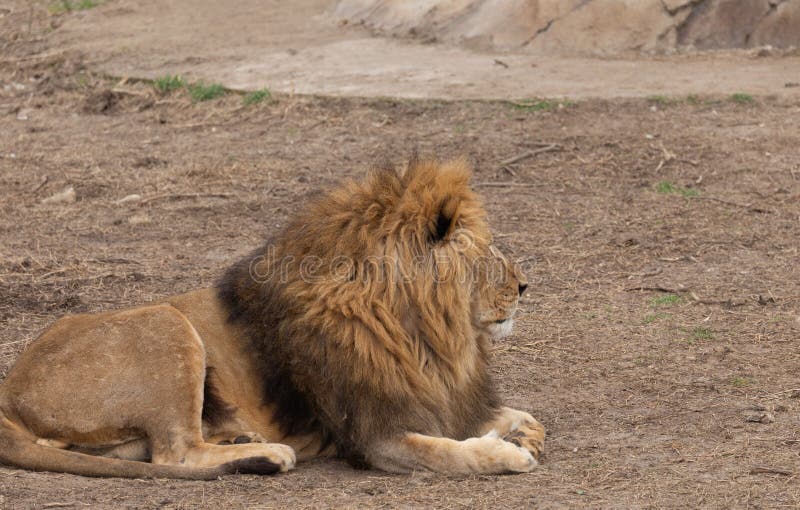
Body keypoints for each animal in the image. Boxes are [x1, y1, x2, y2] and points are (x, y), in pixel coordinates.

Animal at [0, 156, 544, 478]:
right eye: (485, 251)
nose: (523, 285)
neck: (427, 336)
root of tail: (9, 390)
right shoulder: (376, 437)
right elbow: (451, 452)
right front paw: (506, 452)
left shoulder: (444, 400)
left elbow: (515, 414)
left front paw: (523, 431)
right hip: (166, 324)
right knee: (176, 453)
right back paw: (267, 455)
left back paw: (244, 439)